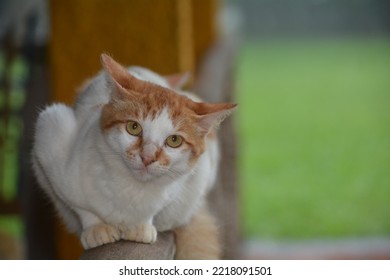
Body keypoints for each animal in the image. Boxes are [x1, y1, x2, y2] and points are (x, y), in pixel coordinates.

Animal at [32, 53, 236, 260]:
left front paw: (141, 226)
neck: (131, 190)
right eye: (134, 127)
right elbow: (81, 207)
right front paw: (96, 228)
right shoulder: (50, 129)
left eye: (174, 140)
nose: (147, 156)